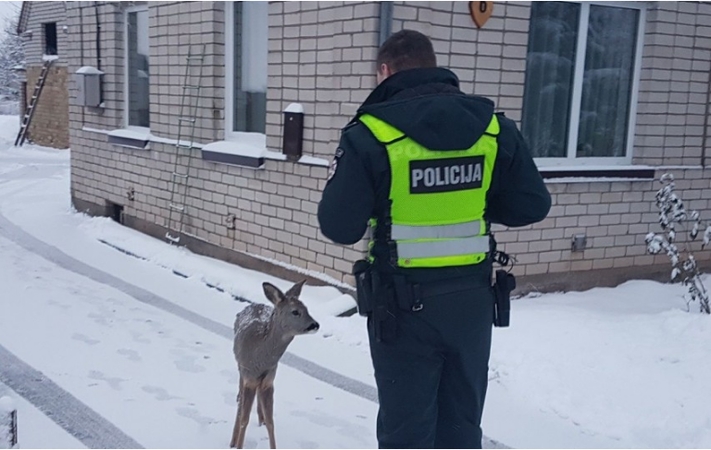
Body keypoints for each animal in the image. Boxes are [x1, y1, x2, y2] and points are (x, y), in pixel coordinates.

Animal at [231, 280, 320, 448]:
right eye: (295, 312)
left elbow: (271, 422)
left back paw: (260, 420)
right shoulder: (248, 377)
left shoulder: (268, 381)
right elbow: (244, 419)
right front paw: (238, 445)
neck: (260, 357)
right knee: (240, 401)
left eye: (306, 309)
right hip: (240, 368)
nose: (315, 325)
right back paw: (233, 438)